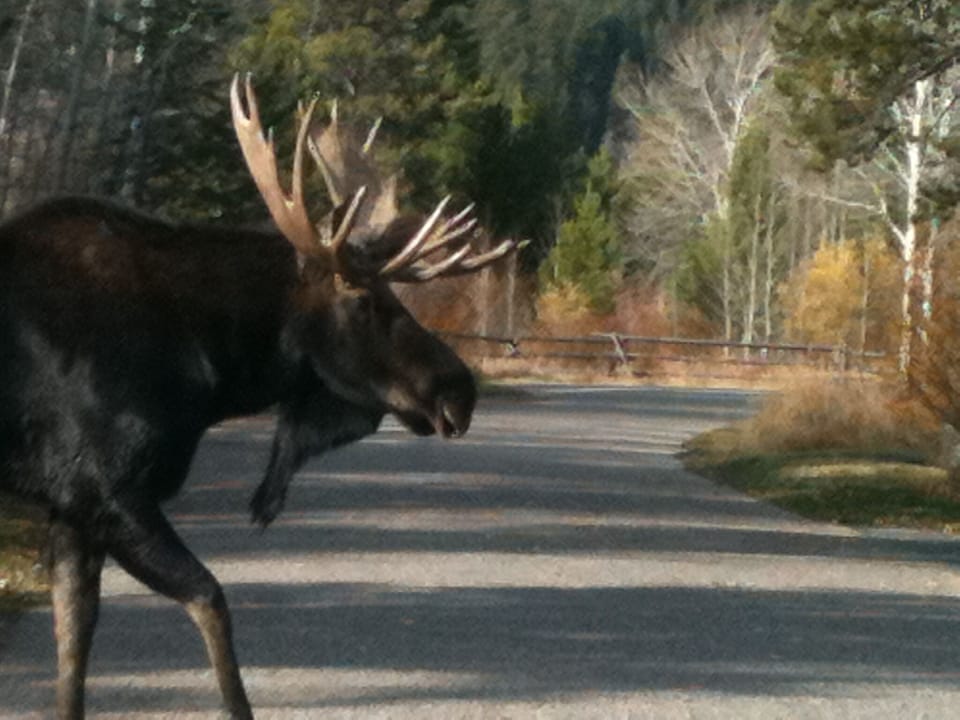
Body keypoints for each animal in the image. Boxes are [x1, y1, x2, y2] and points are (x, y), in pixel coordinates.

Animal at [0, 74, 517, 719]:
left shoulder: (70, 506)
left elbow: (73, 649)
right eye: (366, 301)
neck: (208, 368)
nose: (459, 390)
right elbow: (211, 602)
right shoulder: (109, 490)